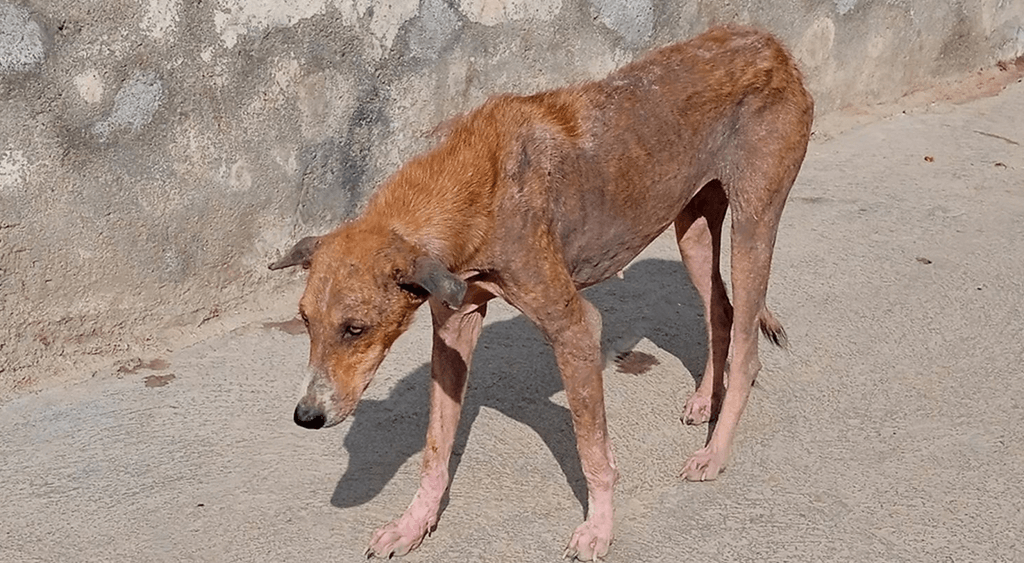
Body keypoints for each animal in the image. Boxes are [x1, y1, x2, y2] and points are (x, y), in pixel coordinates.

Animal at [268, 25, 811, 560]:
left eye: (355, 329)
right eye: (306, 322)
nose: (305, 417)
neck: (469, 185)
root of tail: (771, 44)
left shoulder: (575, 330)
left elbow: (593, 451)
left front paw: (599, 528)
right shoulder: (454, 327)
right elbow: (435, 448)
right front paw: (414, 523)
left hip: (753, 227)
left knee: (747, 346)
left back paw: (715, 451)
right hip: (693, 230)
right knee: (720, 310)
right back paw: (705, 400)